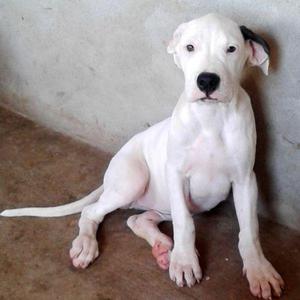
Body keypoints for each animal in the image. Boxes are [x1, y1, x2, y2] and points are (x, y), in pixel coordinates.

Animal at [1, 13, 284, 300]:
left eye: (231, 49)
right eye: (190, 47)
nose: (206, 81)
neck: (210, 118)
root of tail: (109, 178)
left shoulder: (245, 180)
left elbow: (249, 230)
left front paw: (259, 270)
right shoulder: (176, 174)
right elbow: (184, 224)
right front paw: (185, 261)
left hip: (174, 202)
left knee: (136, 219)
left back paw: (162, 246)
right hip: (133, 180)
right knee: (92, 212)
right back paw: (88, 245)